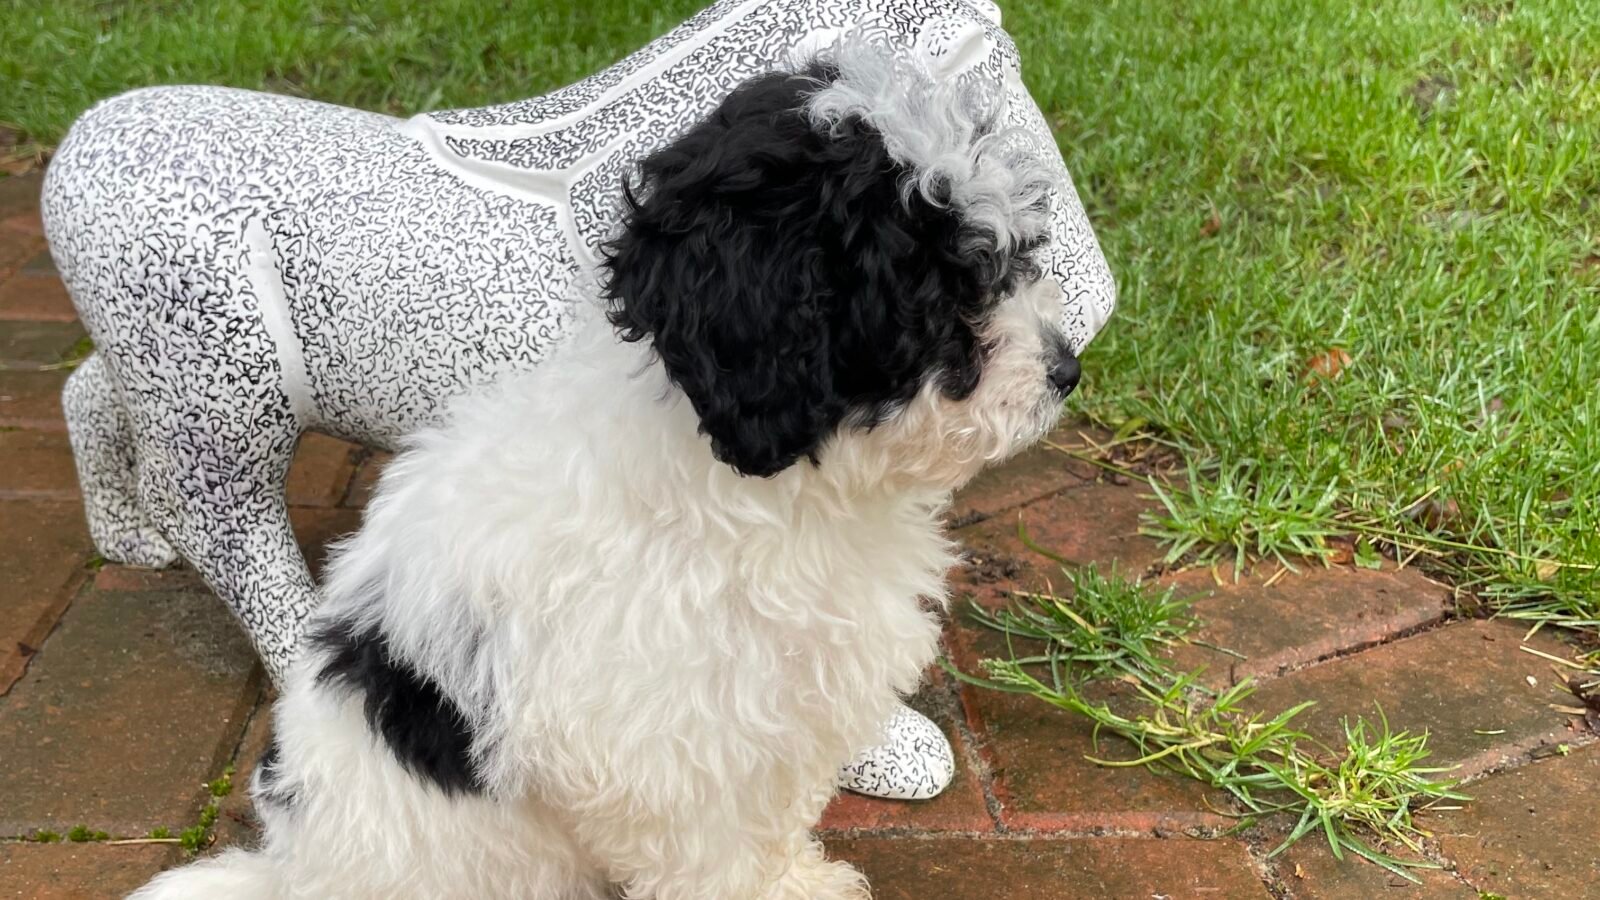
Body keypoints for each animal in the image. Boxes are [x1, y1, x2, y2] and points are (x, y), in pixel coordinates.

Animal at [134, 42, 1088, 896]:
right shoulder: (663, 745)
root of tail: (293, 871)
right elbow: (715, 855)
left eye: (1012, 258)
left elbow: (773, 817)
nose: (1067, 370)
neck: (771, 490)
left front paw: (798, 879)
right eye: (935, 291)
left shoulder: (776, 715)